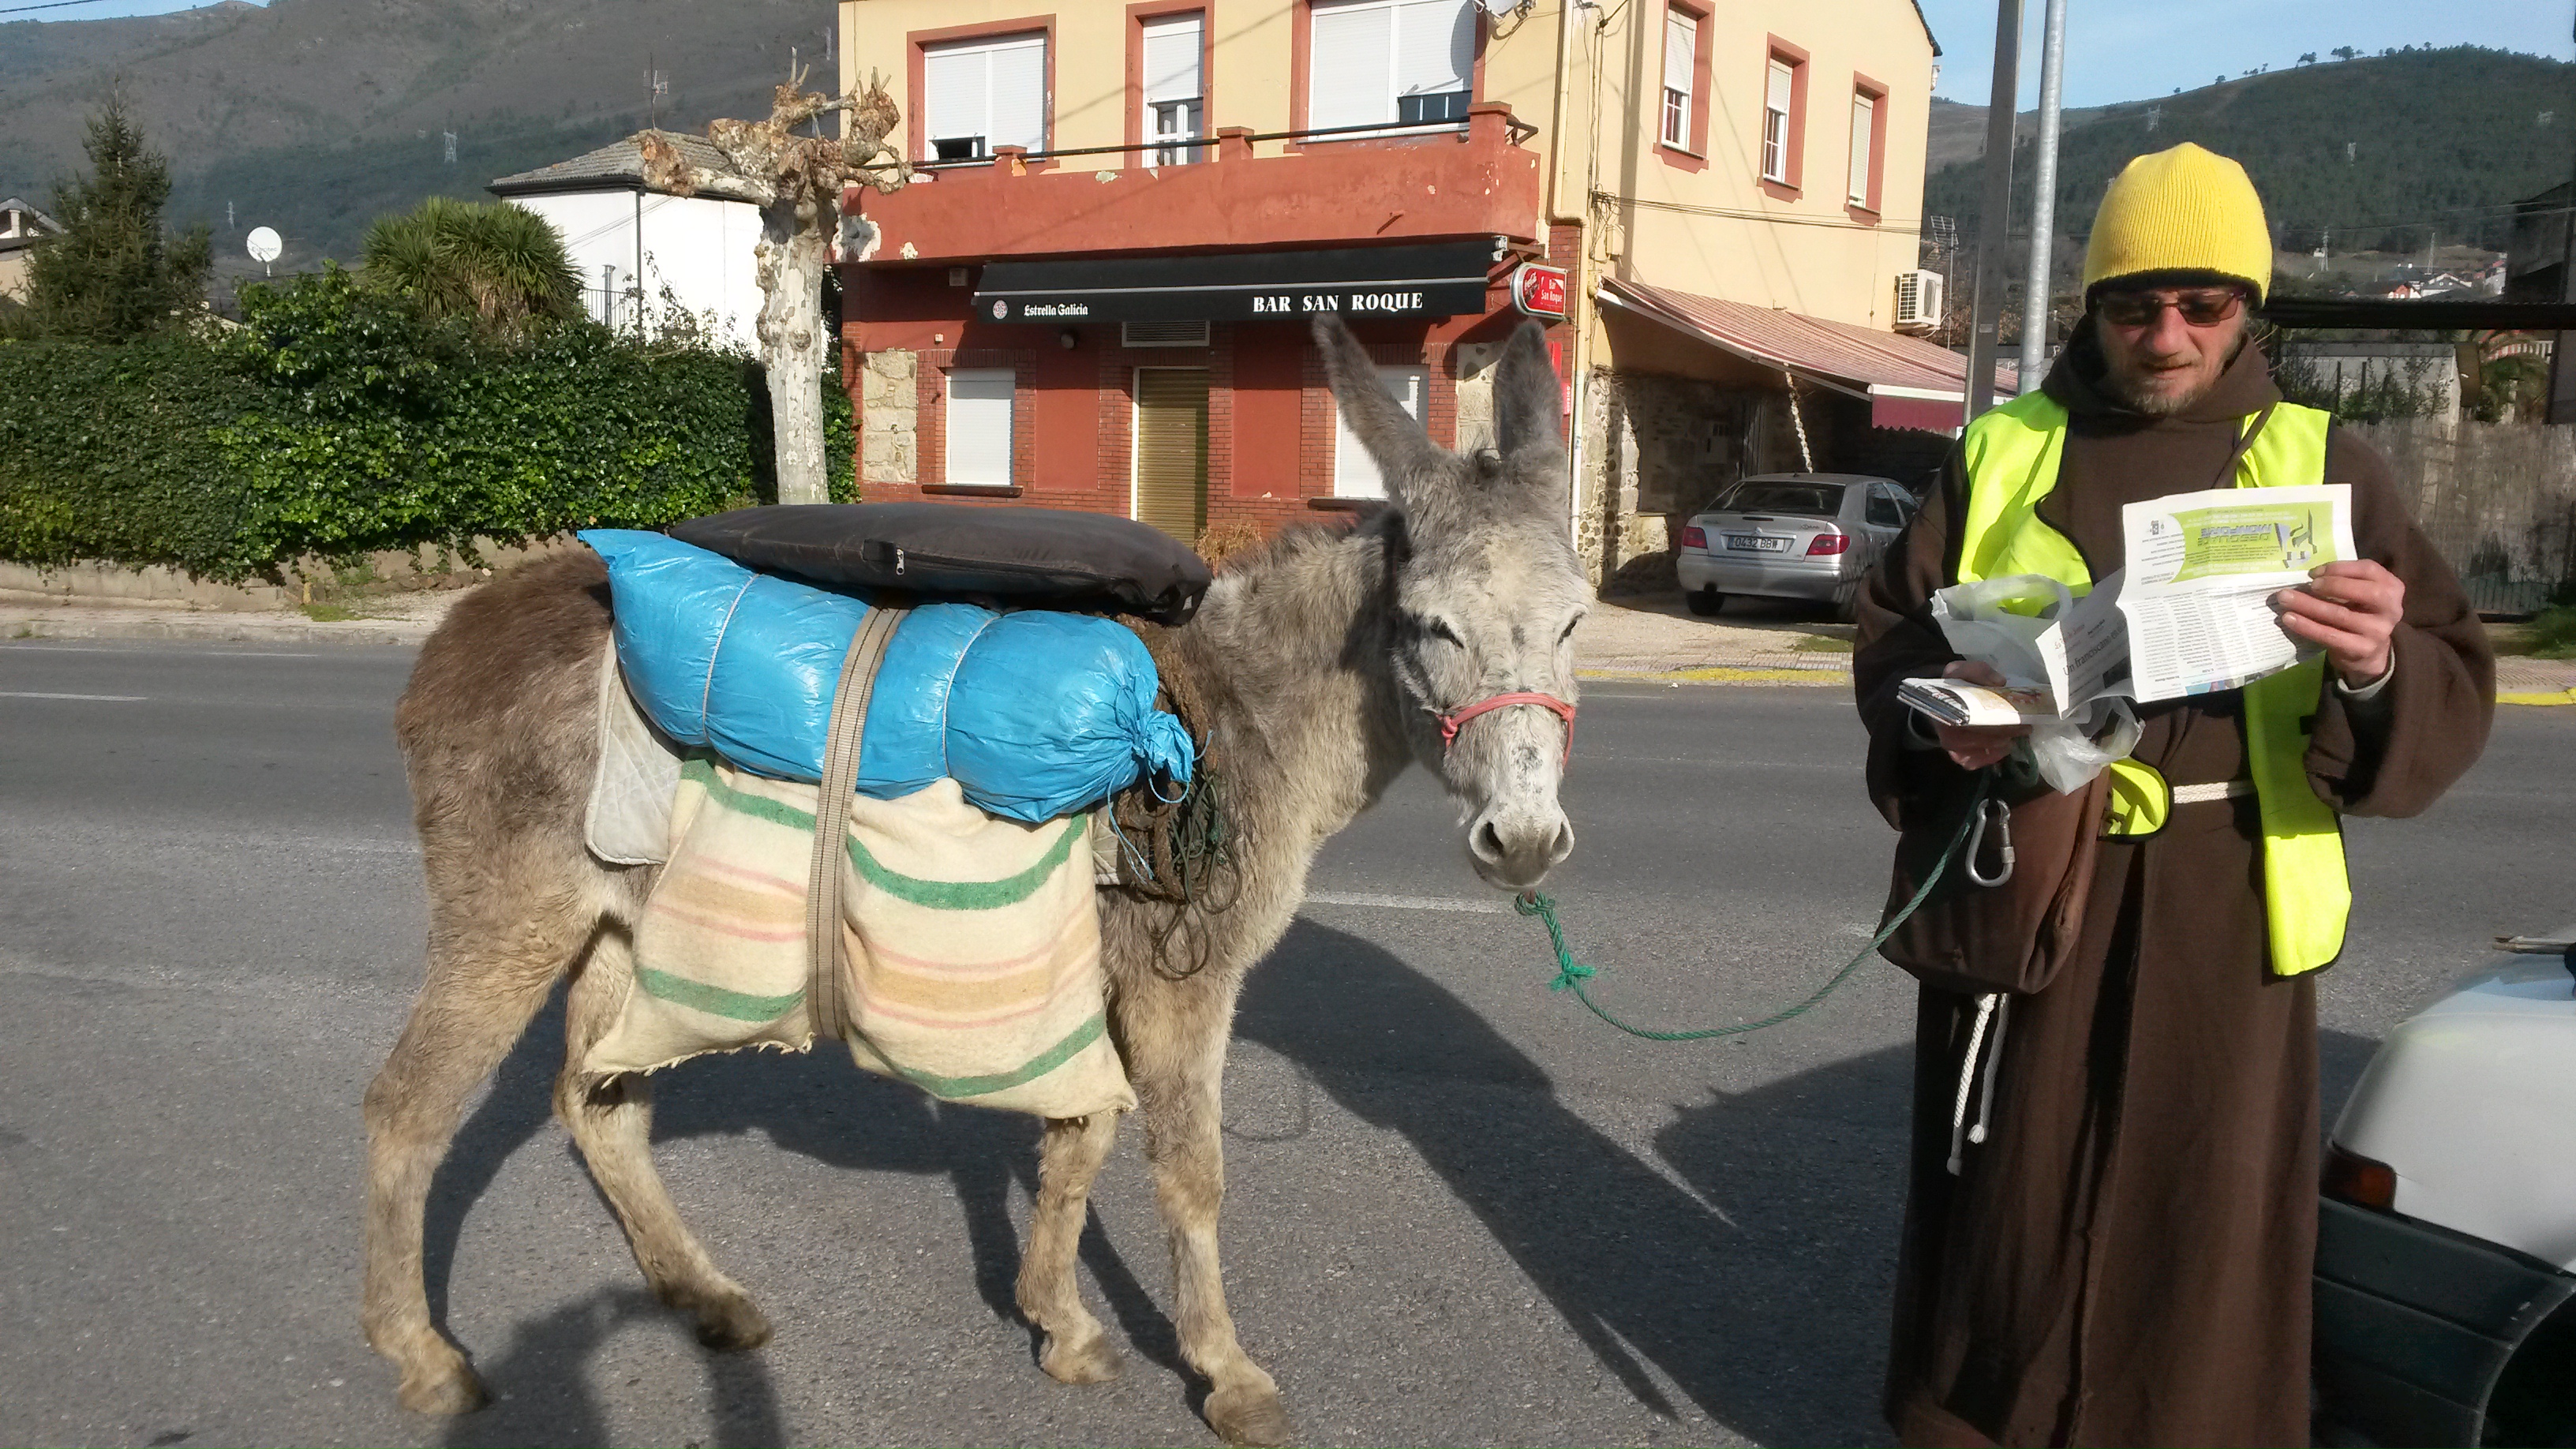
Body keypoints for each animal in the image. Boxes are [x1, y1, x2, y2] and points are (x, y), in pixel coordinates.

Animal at [361, 313, 1592, 1445]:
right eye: (1429, 627)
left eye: (1576, 623)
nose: (1524, 842)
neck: (1246, 713)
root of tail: (456, 627)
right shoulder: (1185, 981)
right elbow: (1188, 1170)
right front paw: (1225, 1373)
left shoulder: (1098, 968)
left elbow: (1079, 1134)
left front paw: (1059, 1322)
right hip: (509, 914)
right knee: (406, 1111)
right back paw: (422, 1360)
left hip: (625, 920)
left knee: (596, 1104)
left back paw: (703, 1297)